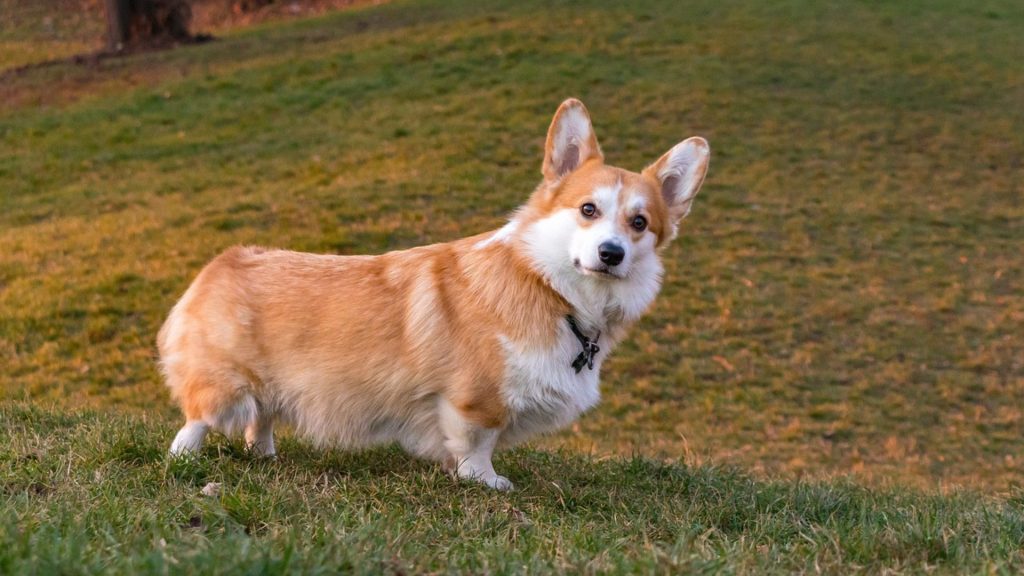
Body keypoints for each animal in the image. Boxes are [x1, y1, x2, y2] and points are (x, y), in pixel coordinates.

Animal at [157, 97, 712, 483]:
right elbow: (476, 445)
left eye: (640, 223)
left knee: (262, 421)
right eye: (588, 210)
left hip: (272, 387)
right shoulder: (475, 400)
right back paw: (183, 458)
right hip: (224, 383)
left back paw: (266, 455)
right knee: (199, 419)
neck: (549, 288)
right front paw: (485, 482)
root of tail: (222, 262)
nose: (611, 254)